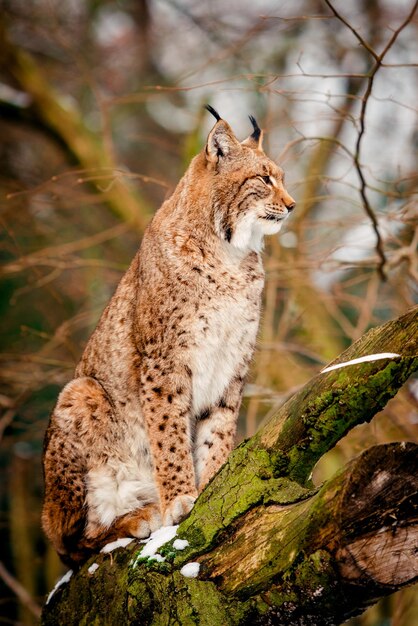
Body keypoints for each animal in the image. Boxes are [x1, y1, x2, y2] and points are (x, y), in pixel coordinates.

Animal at [41, 107, 294, 564]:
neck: (229, 253)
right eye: (264, 179)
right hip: (79, 392)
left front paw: (213, 482)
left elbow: (219, 427)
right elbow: (169, 433)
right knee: (72, 544)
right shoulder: (165, 359)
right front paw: (180, 498)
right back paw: (139, 516)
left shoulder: (233, 358)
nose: (291, 205)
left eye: (281, 178)